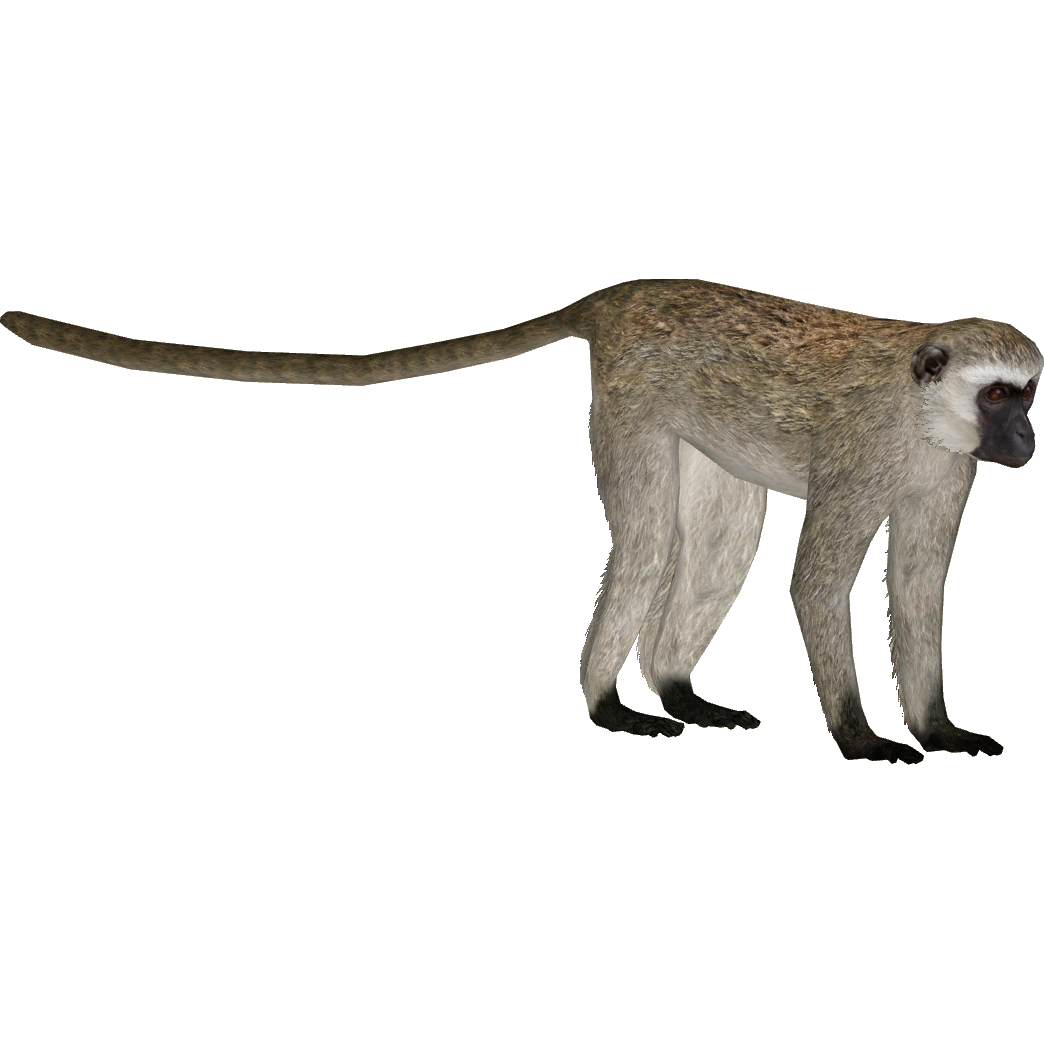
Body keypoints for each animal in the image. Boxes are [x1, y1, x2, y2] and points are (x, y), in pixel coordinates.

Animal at [2, 278, 1038, 765]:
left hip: (702, 421)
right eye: (999, 397)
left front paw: (938, 727)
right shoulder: (867, 458)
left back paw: (675, 687)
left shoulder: (943, 477)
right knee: (648, 540)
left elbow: (916, 585)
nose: (1026, 441)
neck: (920, 416)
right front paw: (861, 735)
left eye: (1025, 396)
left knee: (715, 535)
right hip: (634, 395)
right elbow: (821, 573)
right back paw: (611, 702)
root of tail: (628, 293)